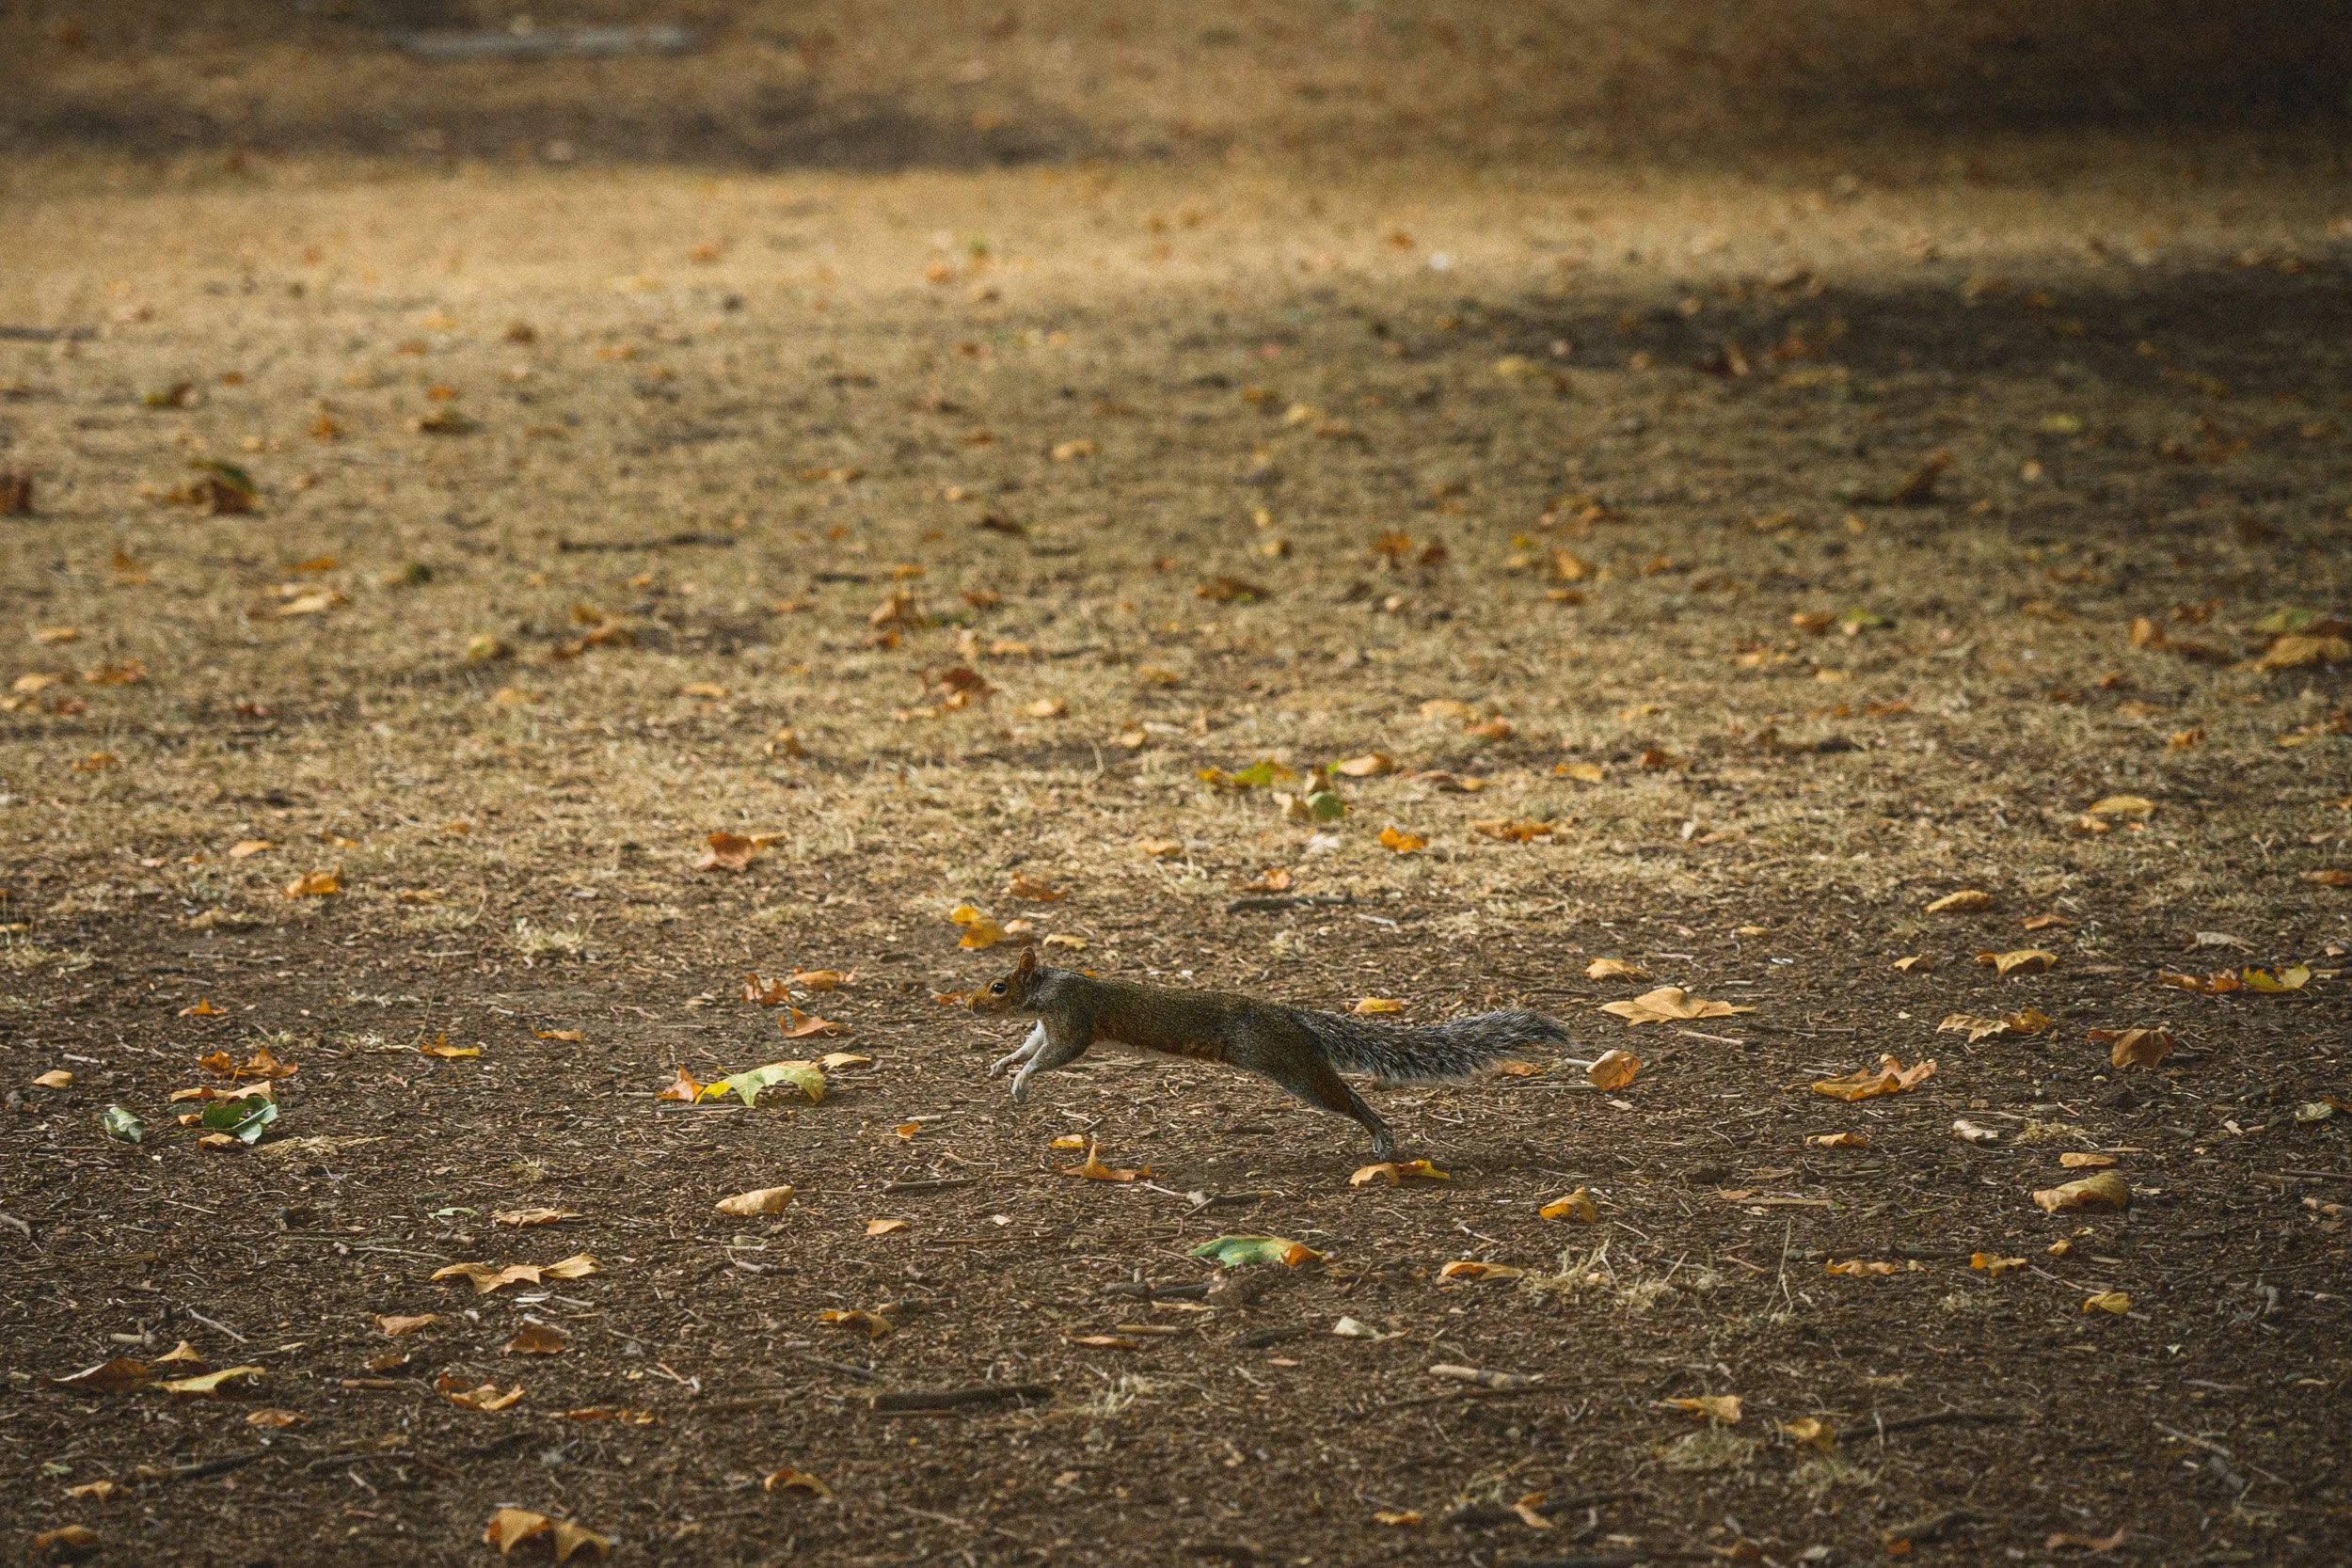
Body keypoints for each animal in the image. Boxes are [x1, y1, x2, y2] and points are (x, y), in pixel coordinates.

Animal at [967, 946, 1569, 1159]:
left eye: (997, 987)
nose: (969, 1004)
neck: (1045, 989)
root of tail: (1290, 1017)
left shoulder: (1072, 1019)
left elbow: (1054, 1055)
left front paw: (1021, 1081)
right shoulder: (1045, 1024)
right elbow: (1029, 1045)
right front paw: (1003, 1064)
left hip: (1289, 1064)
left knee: (1345, 1098)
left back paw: (1381, 1137)